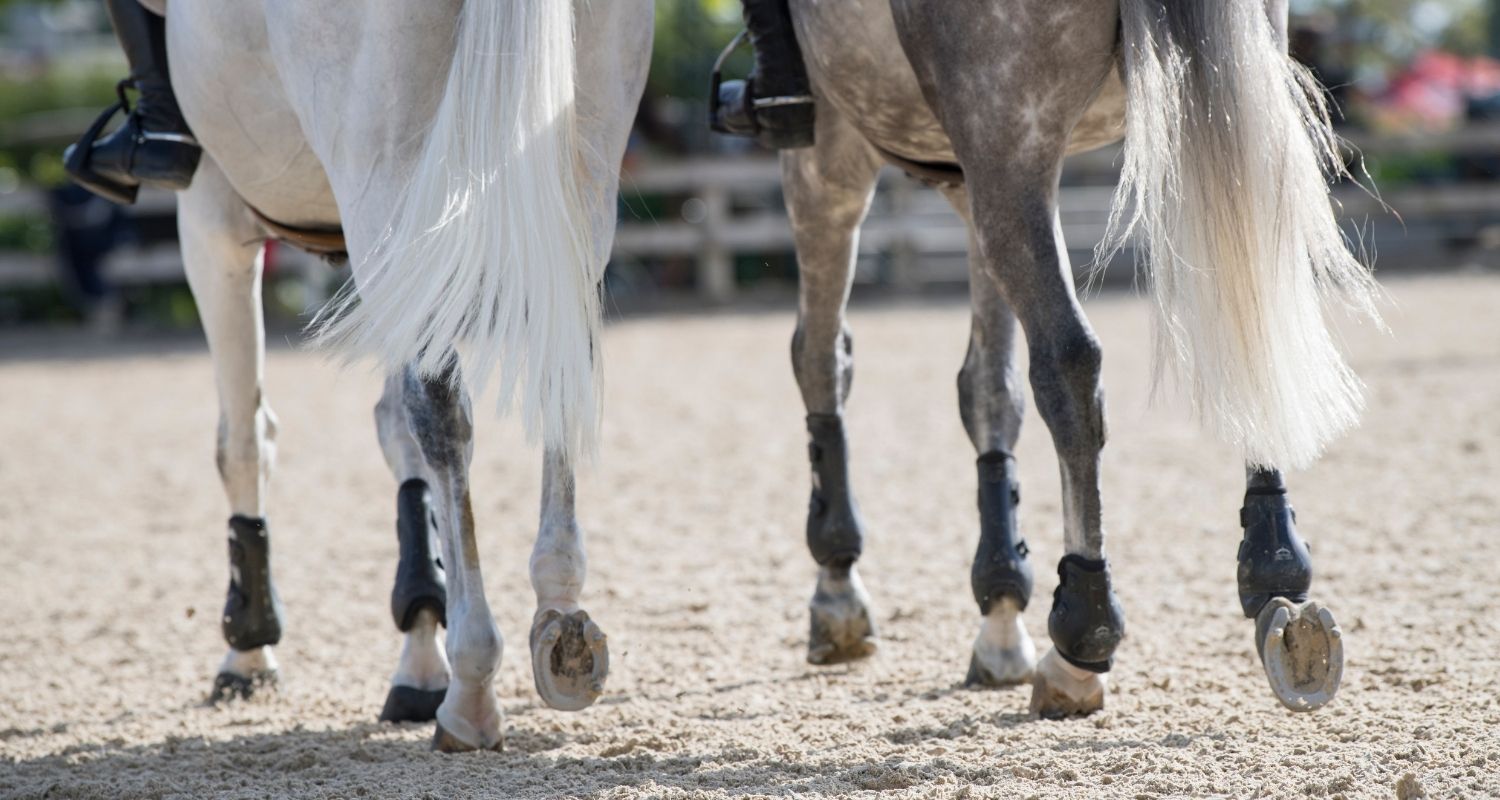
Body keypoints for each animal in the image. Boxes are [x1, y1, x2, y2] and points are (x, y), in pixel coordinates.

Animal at [156, 0, 651, 747]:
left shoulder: (212, 213)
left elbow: (243, 438)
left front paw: (249, 648)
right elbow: (395, 438)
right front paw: (419, 650)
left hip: (381, 178)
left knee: (439, 413)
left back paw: (472, 687)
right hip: (576, 173)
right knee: (557, 369)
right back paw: (560, 623)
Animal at [780, 0, 1374, 711]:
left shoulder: (829, 151)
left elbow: (821, 357)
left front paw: (838, 587)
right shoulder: (966, 177)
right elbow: (988, 387)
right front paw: (1000, 610)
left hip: (1005, 138)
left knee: (1068, 362)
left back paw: (1081, 637)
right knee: (1246, 305)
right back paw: (1277, 586)